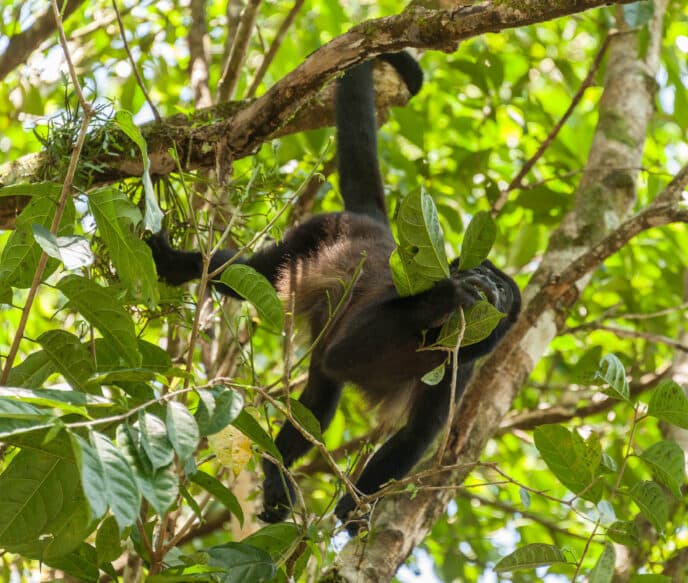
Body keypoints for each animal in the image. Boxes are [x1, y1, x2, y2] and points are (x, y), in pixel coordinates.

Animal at [146, 53, 520, 532]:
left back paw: (276, 477)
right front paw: (452, 292)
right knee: (251, 274)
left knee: (320, 399)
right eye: (484, 271)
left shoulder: (461, 369)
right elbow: (350, 350)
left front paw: (355, 507)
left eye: (505, 292)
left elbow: (413, 436)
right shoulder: (401, 286)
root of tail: (372, 222)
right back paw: (180, 264)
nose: (488, 284)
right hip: (315, 232)